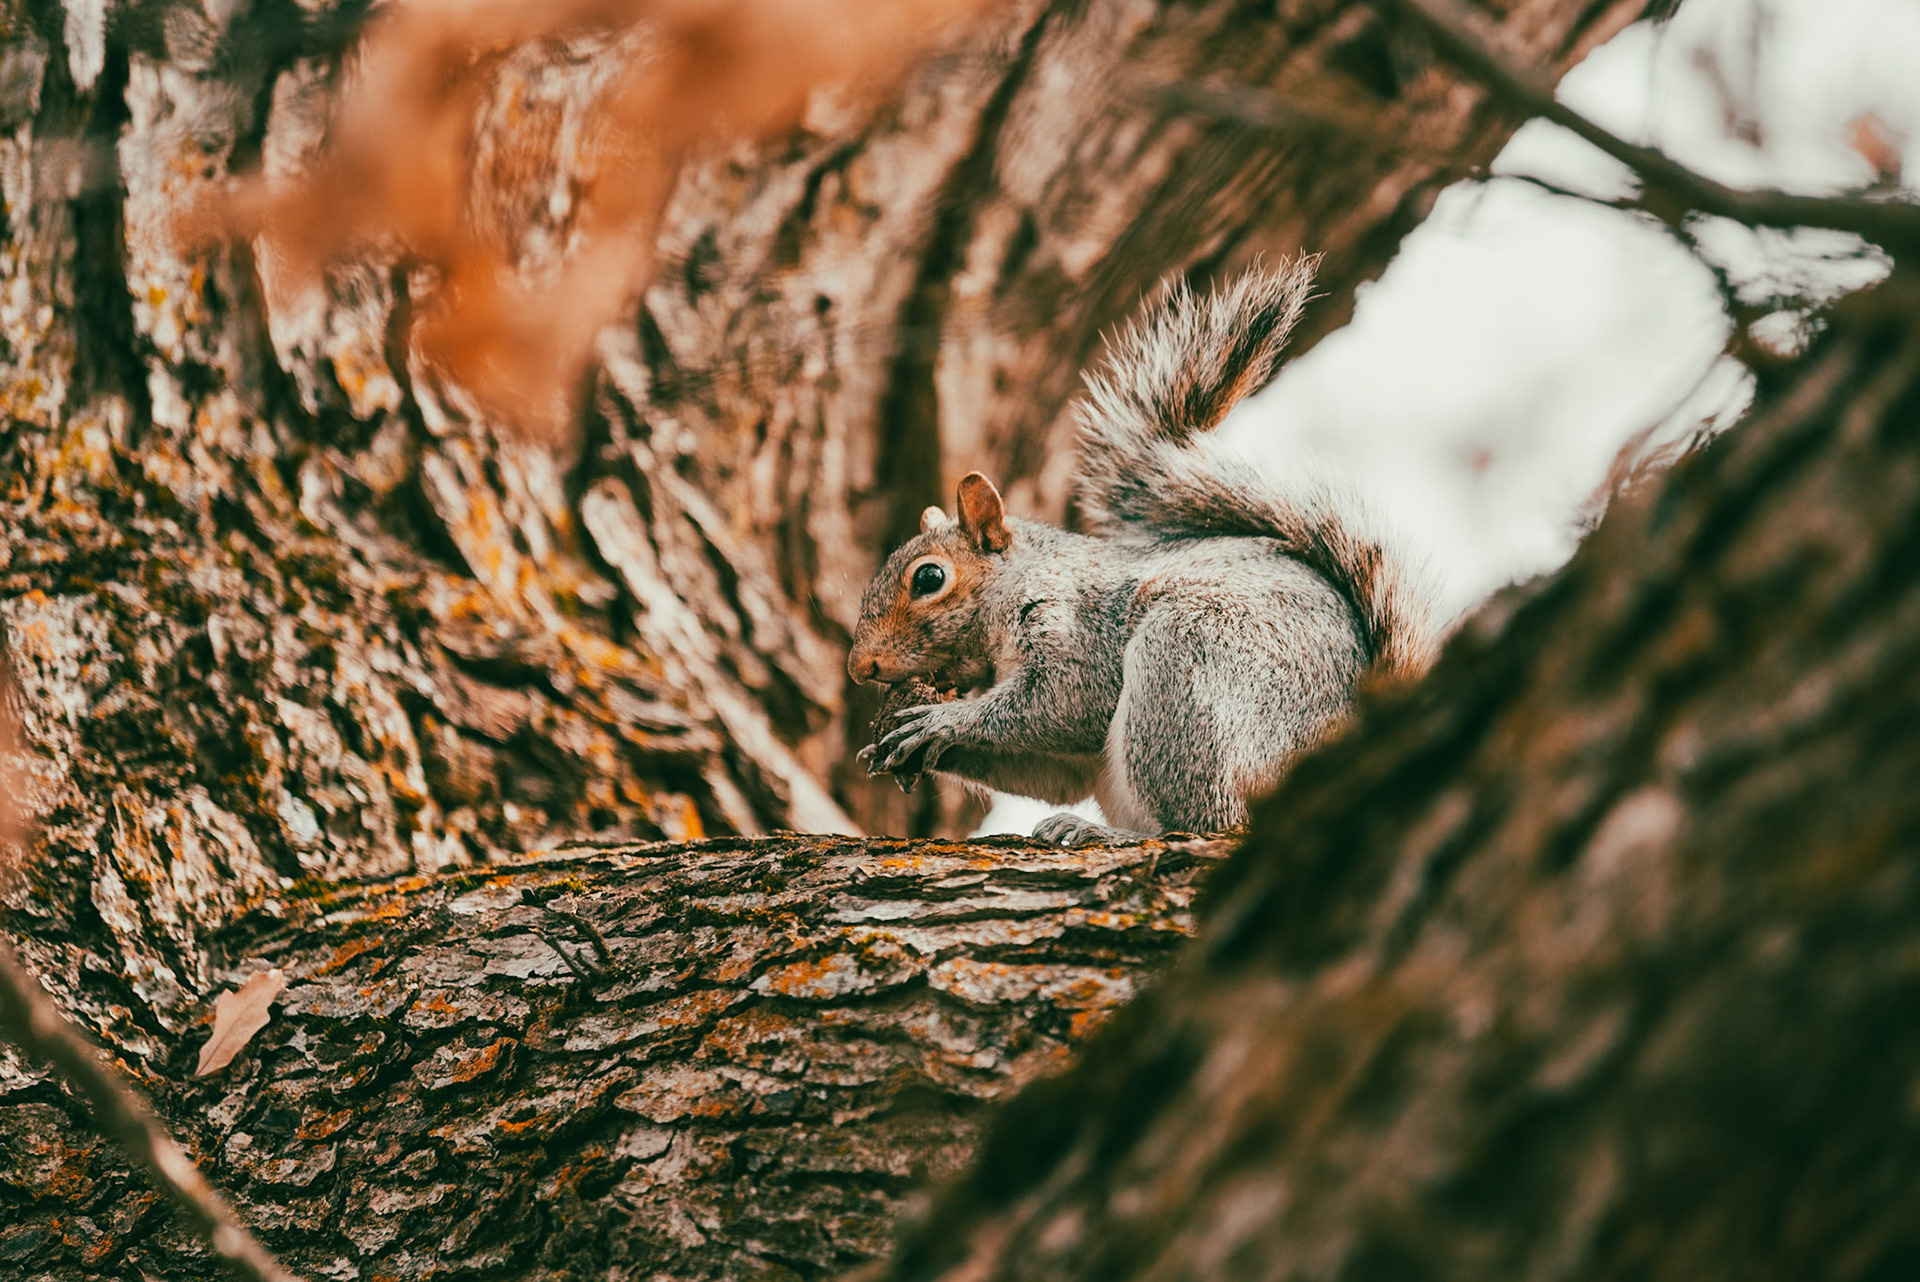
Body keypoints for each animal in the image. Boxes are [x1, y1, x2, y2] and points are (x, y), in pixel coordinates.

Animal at [849, 258, 1435, 846]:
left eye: (928, 579)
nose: (859, 668)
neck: (1025, 578)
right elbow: (1054, 769)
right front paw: (901, 745)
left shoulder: (1078, 628)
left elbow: (1066, 702)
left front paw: (942, 721)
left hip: (1185, 668)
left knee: (1207, 824)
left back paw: (1107, 834)